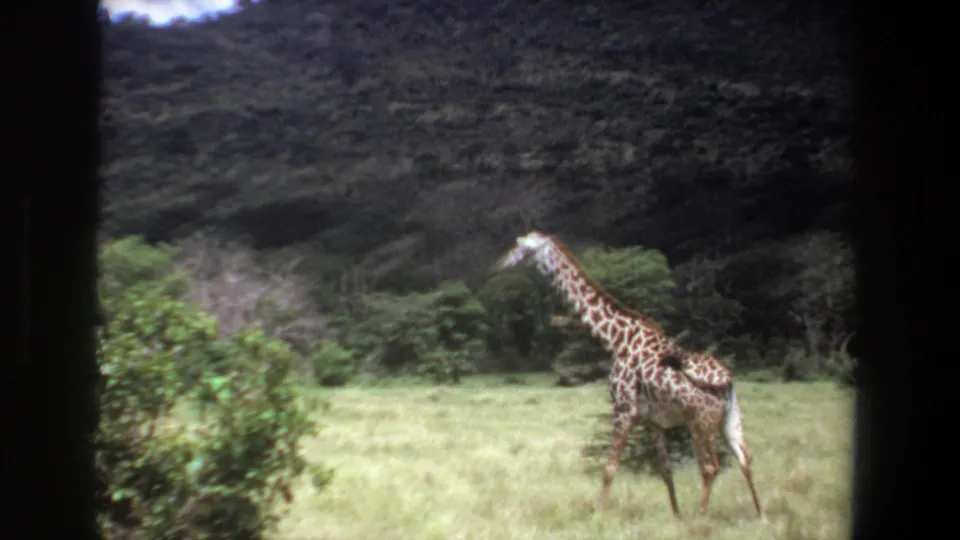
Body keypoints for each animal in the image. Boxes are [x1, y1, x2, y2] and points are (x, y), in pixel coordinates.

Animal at [494, 231, 762, 518]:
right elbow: (665, 469)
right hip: (728, 419)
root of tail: (727, 381)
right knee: (745, 458)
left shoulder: (624, 408)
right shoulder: (653, 420)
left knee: (711, 467)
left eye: (521, 247)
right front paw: (676, 516)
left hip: (701, 423)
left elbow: (610, 467)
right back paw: (761, 515)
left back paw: (700, 516)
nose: (501, 263)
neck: (616, 339)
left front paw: (598, 513)